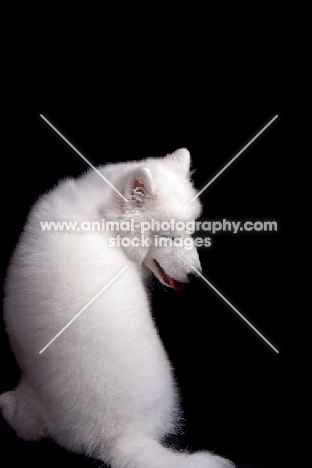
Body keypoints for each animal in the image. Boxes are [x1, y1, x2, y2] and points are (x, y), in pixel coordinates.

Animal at [0, 150, 234, 468]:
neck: (103, 218)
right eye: (168, 236)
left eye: (189, 232)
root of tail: (121, 436)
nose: (196, 276)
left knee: (27, 426)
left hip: (33, 390)